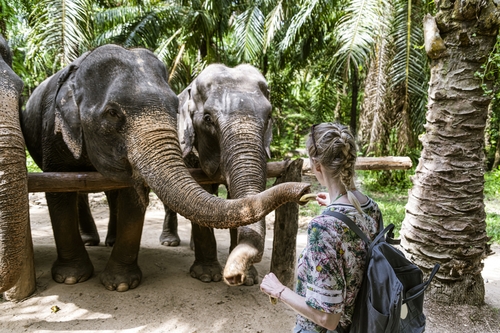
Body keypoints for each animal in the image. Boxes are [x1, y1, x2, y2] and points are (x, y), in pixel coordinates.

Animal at [17, 44, 308, 290]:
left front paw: (247, 279)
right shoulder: (52, 134)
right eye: (208, 118)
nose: (305, 191)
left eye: (269, 117)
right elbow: (60, 193)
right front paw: (76, 279)